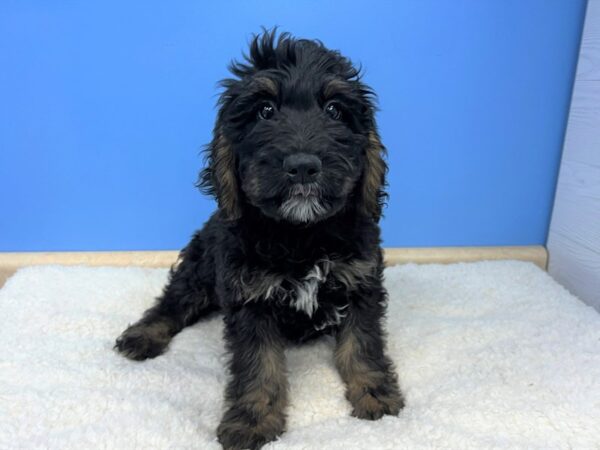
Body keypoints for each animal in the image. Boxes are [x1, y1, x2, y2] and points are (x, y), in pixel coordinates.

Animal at [115, 30, 406, 450]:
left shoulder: (360, 279)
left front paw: (374, 393)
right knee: (173, 302)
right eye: (265, 111)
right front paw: (252, 420)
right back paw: (142, 335)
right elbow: (258, 363)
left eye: (335, 110)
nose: (303, 166)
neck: (301, 233)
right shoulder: (249, 296)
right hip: (201, 265)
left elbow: (362, 343)